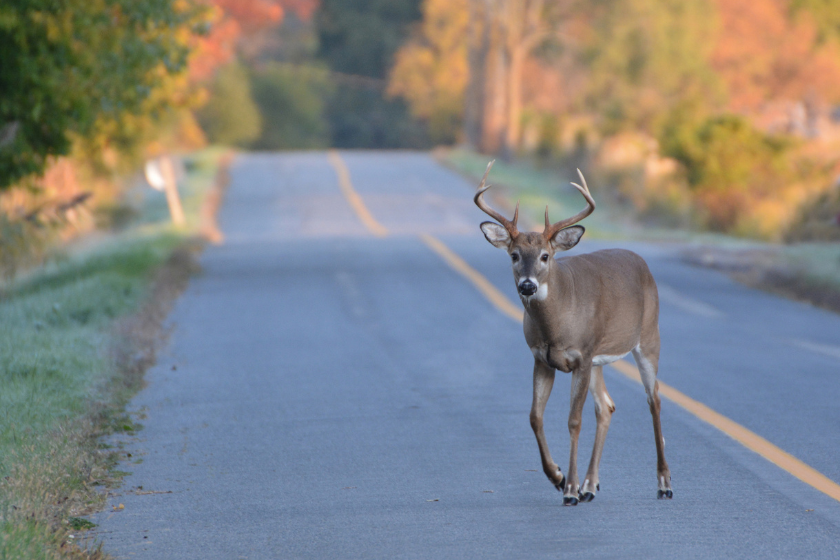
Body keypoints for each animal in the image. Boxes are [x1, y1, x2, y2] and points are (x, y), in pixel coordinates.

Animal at [472, 160, 676, 506]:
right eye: (514, 255)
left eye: (545, 255)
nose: (527, 285)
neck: (556, 325)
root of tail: (641, 262)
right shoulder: (544, 359)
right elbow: (535, 416)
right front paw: (558, 477)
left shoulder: (581, 355)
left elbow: (573, 420)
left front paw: (569, 489)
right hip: (598, 360)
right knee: (606, 406)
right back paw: (591, 485)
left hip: (649, 338)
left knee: (654, 400)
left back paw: (663, 484)